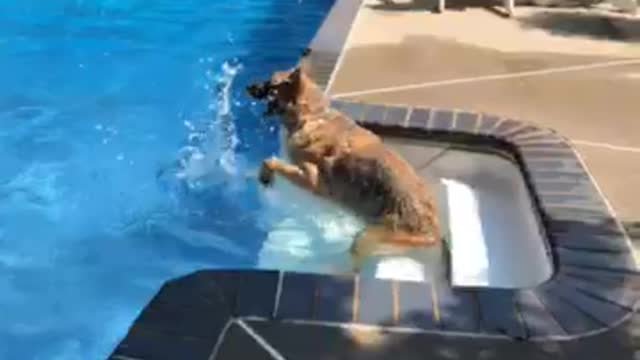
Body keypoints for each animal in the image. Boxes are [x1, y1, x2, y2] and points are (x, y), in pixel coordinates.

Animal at [248, 58, 442, 270]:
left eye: (271, 84)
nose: (248, 87)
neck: (313, 114)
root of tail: (433, 232)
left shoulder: (312, 180)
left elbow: (271, 162)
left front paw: (265, 175)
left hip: (366, 238)